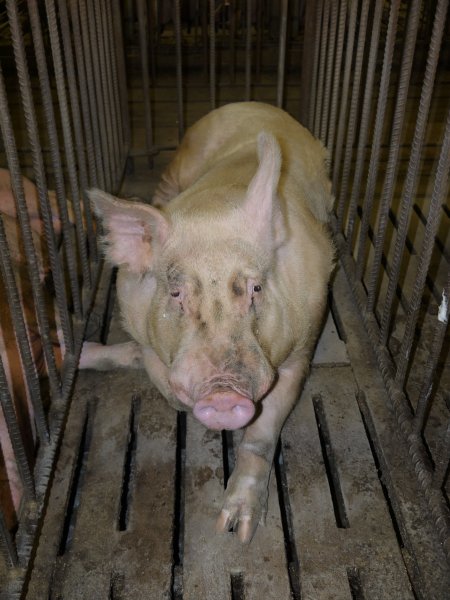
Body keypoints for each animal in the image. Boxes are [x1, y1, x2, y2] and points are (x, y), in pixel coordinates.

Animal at [88, 103, 334, 544]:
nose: (222, 392)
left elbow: (263, 432)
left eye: (255, 288)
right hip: (182, 160)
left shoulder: (302, 343)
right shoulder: (131, 308)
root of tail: (251, 103)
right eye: (176, 294)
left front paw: (236, 530)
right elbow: (153, 366)